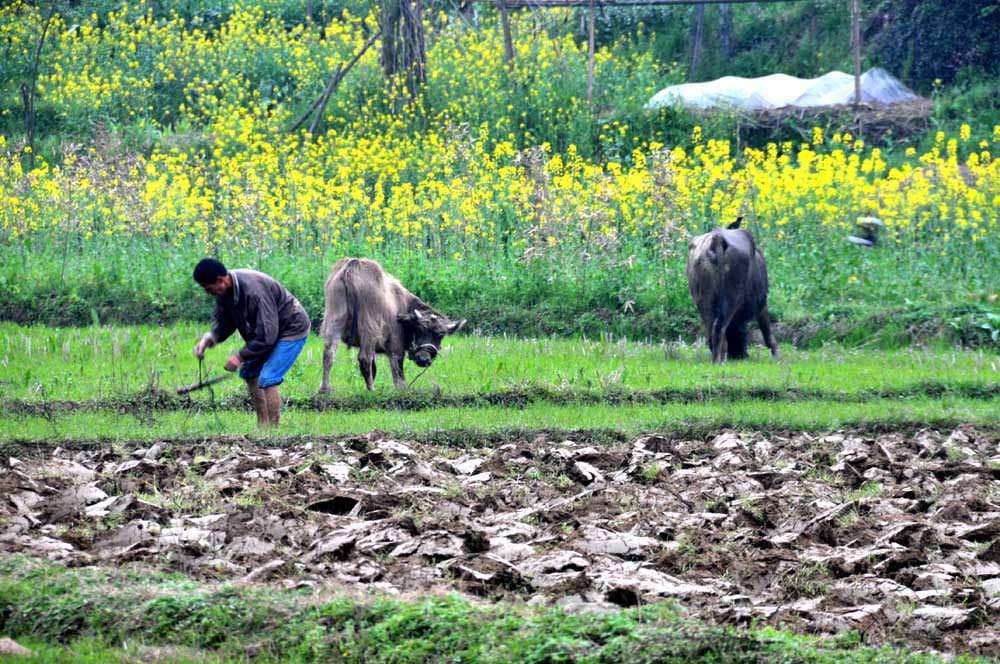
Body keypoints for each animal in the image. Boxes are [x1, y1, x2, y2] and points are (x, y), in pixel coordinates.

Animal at [318, 258, 466, 394]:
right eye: (419, 329)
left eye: (439, 335)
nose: (423, 359)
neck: (402, 303)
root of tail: (352, 265)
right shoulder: (396, 346)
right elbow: (398, 375)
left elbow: (374, 369)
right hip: (369, 328)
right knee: (364, 358)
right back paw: (372, 390)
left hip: (334, 320)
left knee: (328, 354)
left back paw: (324, 389)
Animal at [688, 218, 780, 364]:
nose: (740, 355)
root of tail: (717, 239)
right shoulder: (762, 302)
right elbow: (767, 331)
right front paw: (777, 356)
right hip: (731, 299)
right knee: (719, 328)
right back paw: (719, 361)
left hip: (703, 301)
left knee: (710, 329)